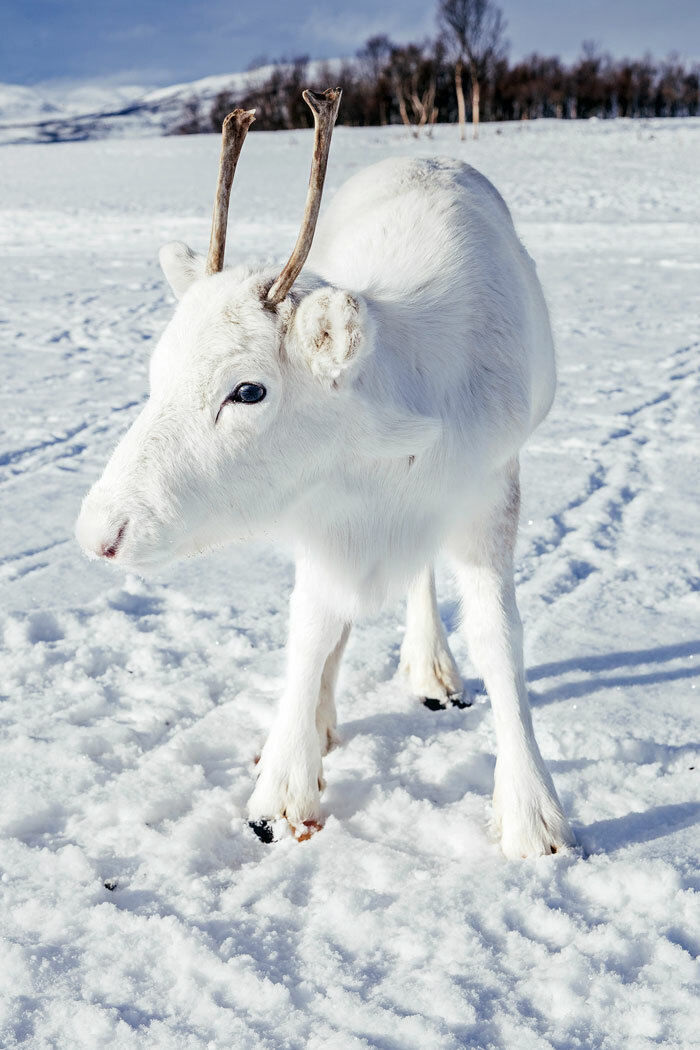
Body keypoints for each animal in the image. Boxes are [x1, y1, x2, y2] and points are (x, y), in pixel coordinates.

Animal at [76, 87, 576, 859]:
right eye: (157, 371)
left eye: (248, 390)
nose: (102, 532)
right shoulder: (319, 514)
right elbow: (311, 630)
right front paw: (284, 787)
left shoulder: (489, 488)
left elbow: (499, 639)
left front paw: (533, 814)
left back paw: (431, 669)